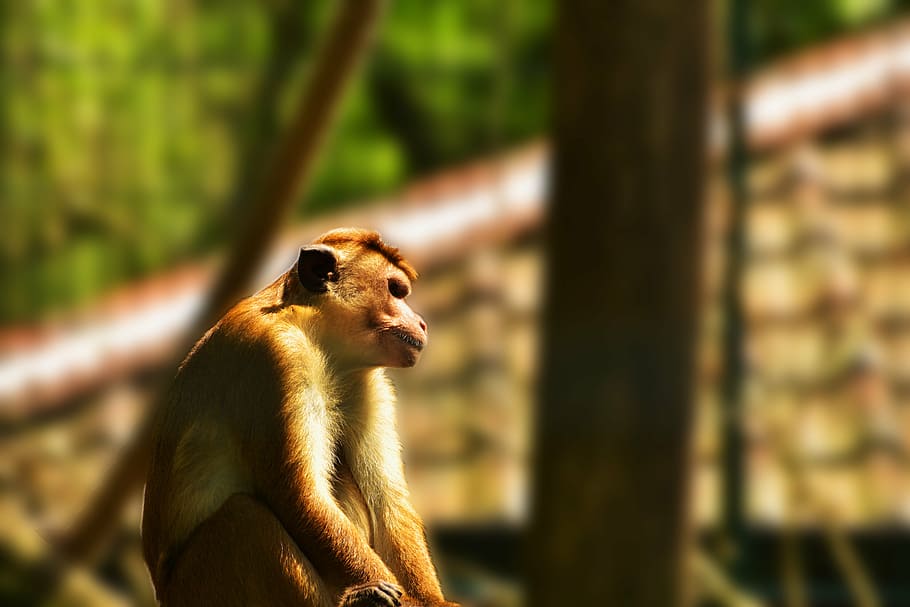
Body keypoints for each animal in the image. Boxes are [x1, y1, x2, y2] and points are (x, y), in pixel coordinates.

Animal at [141, 228, 459, 607]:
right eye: (395, 290)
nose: (422, 322)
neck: (315, 332)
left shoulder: (370, 384)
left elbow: (387, 500)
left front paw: (430, 601)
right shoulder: (276, 355)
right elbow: (299, 493)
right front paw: (380, 590)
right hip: (199, 587)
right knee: (244, 518)